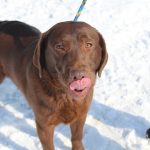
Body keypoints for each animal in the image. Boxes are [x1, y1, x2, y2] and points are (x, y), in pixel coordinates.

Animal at [0, 20, 108, 149]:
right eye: (60, 47)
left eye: (88, 44)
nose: (78, 76)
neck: (65, 96)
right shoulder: (44, 126)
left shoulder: (81, 115)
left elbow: (77, 137)